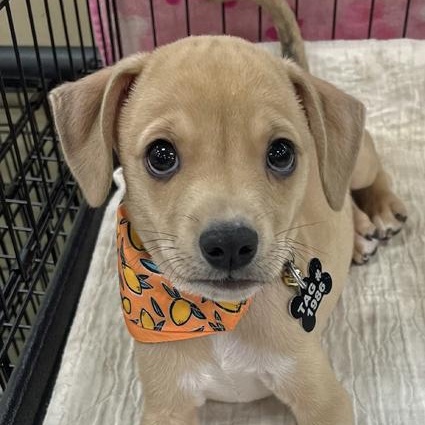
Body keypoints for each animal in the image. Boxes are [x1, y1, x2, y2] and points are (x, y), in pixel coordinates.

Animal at [49, 1, 407, 424]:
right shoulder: (166, 405)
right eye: (161, 155)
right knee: (342, 199)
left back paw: (381, 211)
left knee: (368, 173)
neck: (218, 318)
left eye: (281, 152)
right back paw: (358, 232)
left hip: (358, 161)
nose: (231, 244)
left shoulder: (324, 399)